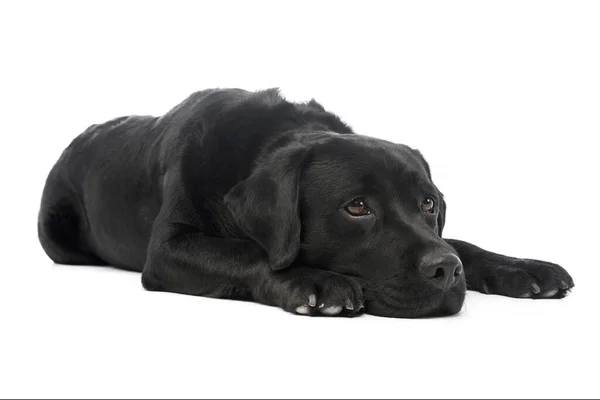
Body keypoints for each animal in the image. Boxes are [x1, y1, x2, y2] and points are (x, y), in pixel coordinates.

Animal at [36, 88, 572, 318]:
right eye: (357, 207)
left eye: (428, 204)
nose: (446, 271)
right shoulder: (169, 250)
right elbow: (248, 252)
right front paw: (313, 280)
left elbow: (463, 242)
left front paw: (524, 268)